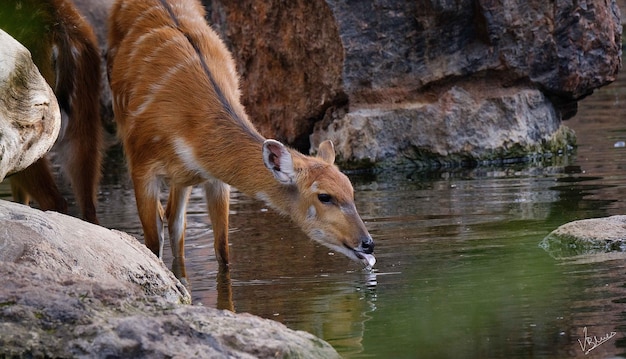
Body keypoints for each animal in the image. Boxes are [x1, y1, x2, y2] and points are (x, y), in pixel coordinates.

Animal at [106, 0, 376, 272]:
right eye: (324, 196)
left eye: (351, 191)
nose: (368, 243)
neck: (189, 129)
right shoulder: (141, 166)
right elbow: (152, 245)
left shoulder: (215, 178)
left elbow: (222, 251)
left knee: (175, 222)